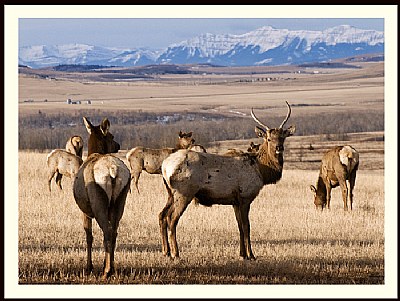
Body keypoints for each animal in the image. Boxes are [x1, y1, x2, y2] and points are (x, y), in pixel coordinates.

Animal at [72, 116, 130, 278]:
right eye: (112, 136)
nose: (117, 145)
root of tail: (113, 170)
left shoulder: (85, 210)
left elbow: (89, 236)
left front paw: (89, 267)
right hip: (120, 200)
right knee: (114, 232)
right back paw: (112, 268)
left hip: (98, 201)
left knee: (107, 231)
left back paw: (106, 271)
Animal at [159, 100, 294, 258]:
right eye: (268, 138)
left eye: (283, 137)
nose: (279, 147)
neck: (261, 170)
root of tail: (165, 166)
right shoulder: (245, 196)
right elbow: (247, 226)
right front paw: (251, 255)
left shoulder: (235, 201)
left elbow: (239, 227)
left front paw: (242, 254)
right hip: (184, 192)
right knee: (172, 218)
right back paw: (176, 253)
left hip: (170, 193)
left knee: (162, 215)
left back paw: (166, 251)